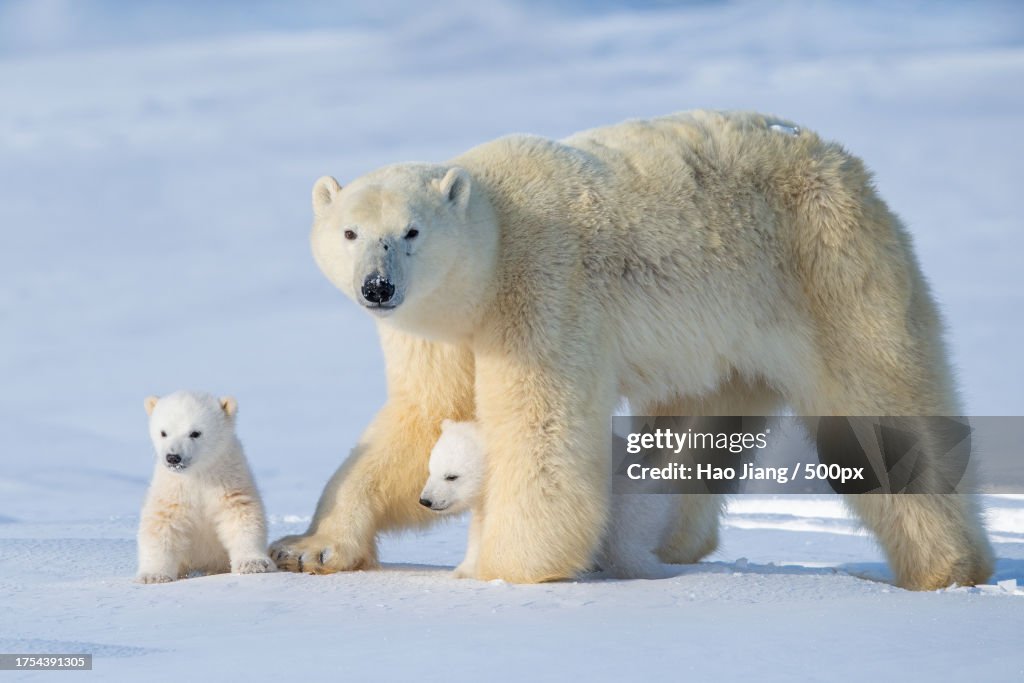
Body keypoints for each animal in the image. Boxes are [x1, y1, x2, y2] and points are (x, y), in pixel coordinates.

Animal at [137, 391, 275, 583]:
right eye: (163, 432)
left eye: (195, 433)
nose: (173, 457)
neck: (198, 474)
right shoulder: (173, 489)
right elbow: (162, 524)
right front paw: (153, 575)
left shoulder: (228, 479)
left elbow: (241, 515)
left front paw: (252, 564)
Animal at [421, 420, 676, 579]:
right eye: (431, 470)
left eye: (451, 476)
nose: (426, 500)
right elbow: (479, 529)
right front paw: (463, 571)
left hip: (631, 502)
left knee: (626, 546)